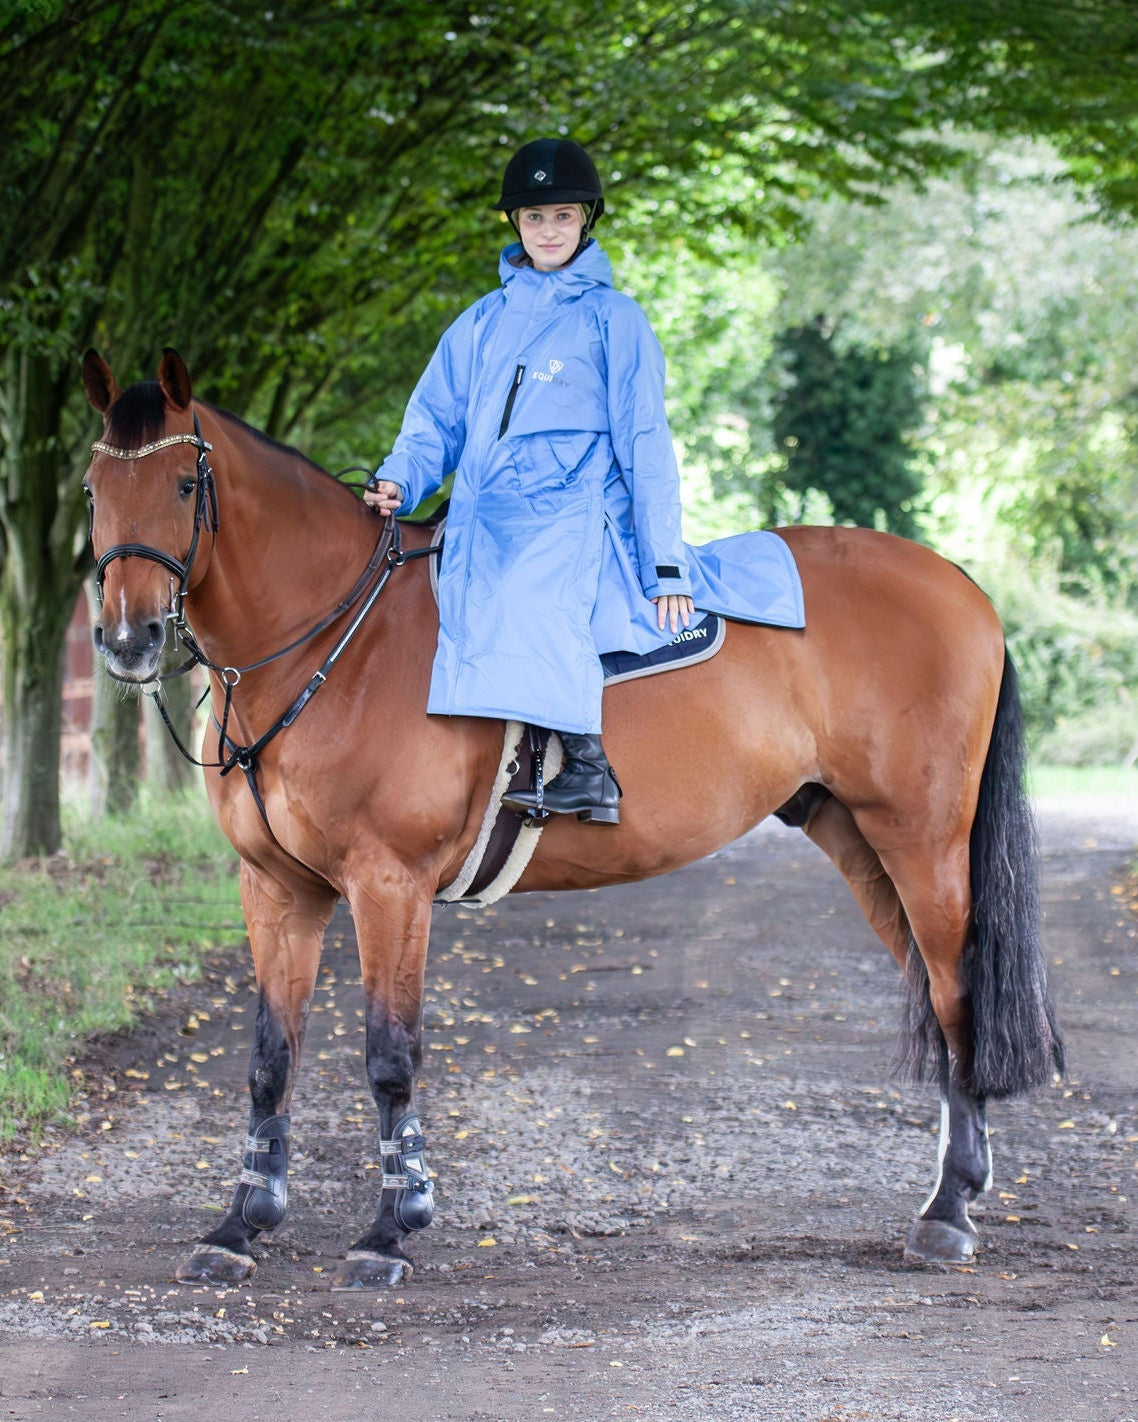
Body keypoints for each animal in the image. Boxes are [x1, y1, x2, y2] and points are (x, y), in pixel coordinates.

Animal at [80, 348, 1063, 1290]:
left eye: (183, 485)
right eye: (92, 490)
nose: (127, 641)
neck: (340, 643)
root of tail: (959, 584)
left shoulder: (388, 885)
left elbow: (391, 1057)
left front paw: (392, 1228)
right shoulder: (279, 890)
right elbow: (268, 1058)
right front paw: (239, 1225)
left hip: (923, 844)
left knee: (958, 997)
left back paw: (948, 1213)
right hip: (859, 841)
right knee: (936, 1001)